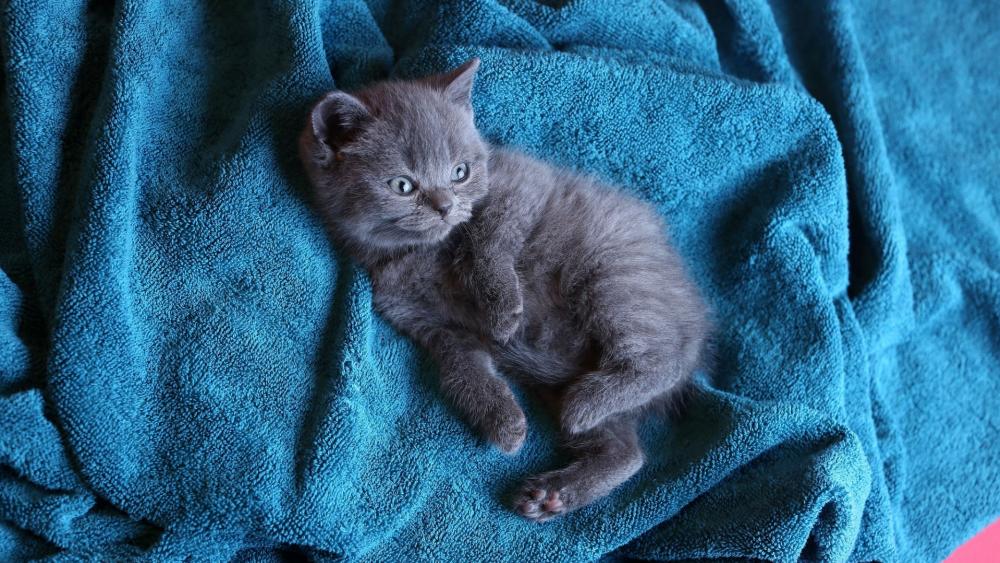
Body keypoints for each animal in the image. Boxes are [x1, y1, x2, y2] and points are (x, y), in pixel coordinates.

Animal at [296, 59, 712, 524]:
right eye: (403, 185)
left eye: (460, 172)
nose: (445, 206)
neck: (425, 253)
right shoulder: (427, 324)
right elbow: (465, 370)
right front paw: (503, 420)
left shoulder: (524, 185)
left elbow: (486, 241)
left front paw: (503, 310)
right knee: (627, 452)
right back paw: (555, 492)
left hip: (616, 281)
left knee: (661, 358)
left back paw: (585, 404)